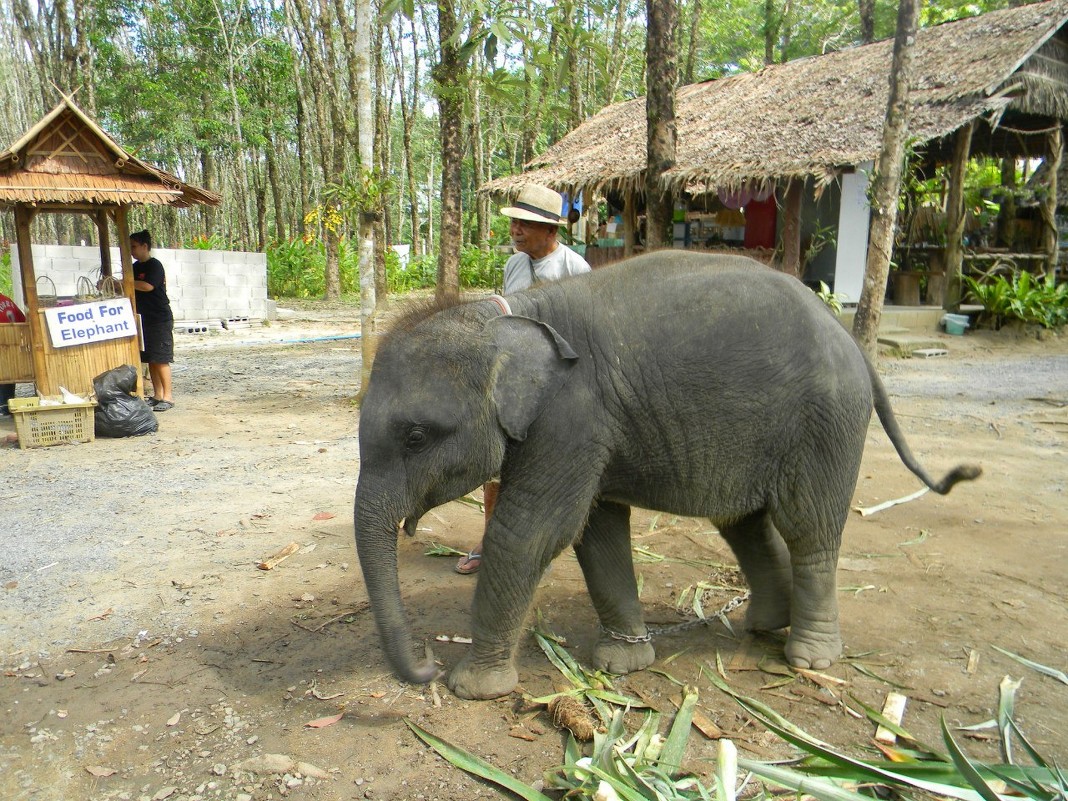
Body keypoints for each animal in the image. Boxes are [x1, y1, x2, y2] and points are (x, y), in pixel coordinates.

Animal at [354, 254, 978, 700]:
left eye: (415, 437)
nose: (428, 663)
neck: (503, 319)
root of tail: (850, 338)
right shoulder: (590, 431)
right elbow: (597, 530)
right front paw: (622, 664)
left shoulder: (572, 417)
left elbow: (530, 532)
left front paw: (474, 688)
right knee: (744, 522)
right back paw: (763, 624)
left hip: (827, 423)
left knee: (810, 529)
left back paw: (810, 658)